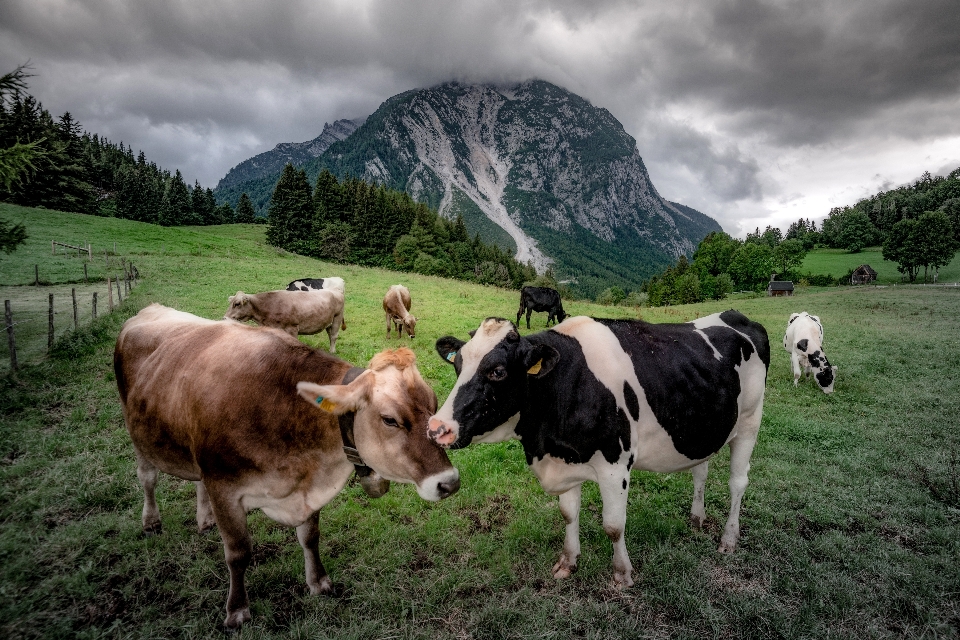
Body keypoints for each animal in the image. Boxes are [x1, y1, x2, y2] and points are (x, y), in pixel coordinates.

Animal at [112, 304, 458, 632]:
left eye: (434, 402)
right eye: (389, 419)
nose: (449, 482)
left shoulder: (306, 487)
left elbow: (310, 536)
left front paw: (318, 582)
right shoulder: (223, 486)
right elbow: (238, 553)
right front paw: (237, 610)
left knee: (196, 481)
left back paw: (205, 518)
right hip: (137, 433)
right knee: (147, 478)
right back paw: (151, 521)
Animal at [432, 312, 768, 588]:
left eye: (498, 372)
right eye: (457, 365)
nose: (437, 427)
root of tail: (736, 315)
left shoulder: (615, 465)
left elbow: (613, 526)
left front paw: (622, 574)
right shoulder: (566, 458)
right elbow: (568, 514)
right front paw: (568, 562)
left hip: (750, 422)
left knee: (738, 483)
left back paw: (728, 539)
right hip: (705, 427)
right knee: (701, 471)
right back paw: (697, 519)